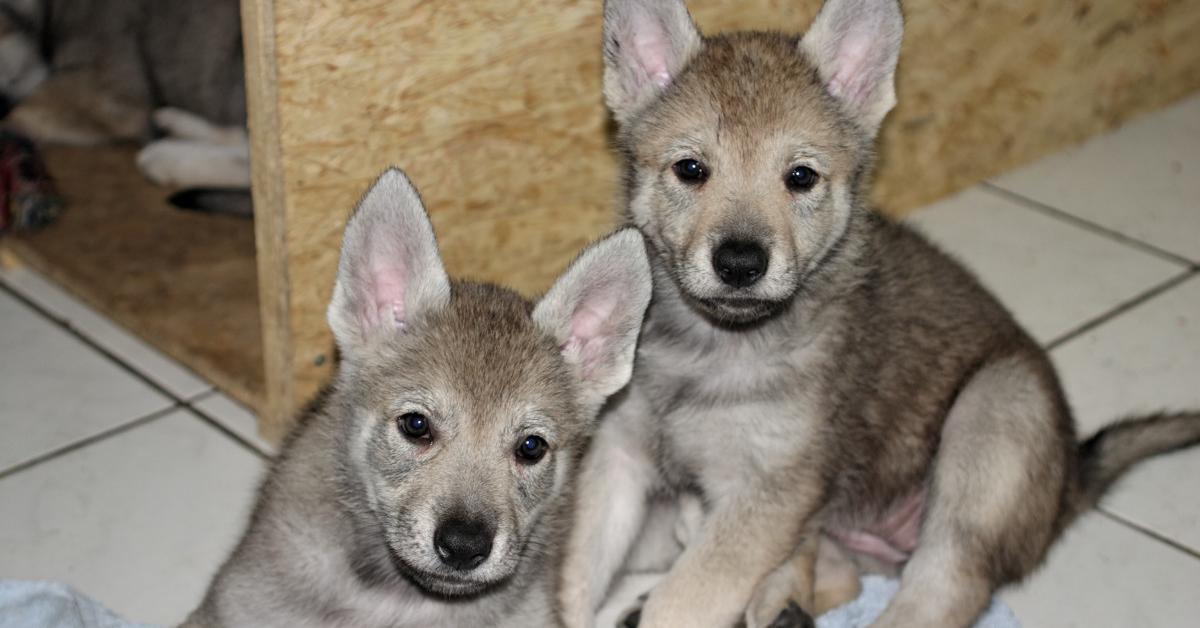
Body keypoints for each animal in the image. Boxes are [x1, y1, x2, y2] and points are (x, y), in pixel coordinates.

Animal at [556, 1, 1200, 628]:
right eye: (690, 169)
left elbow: (682, 602)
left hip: (993, 419)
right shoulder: (618, 459)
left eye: (801, 176)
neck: (710, 346)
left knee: (941, 592)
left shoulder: (767, 494)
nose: (740, 263)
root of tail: (1069, 481)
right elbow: (573, 577)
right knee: (840, 578)